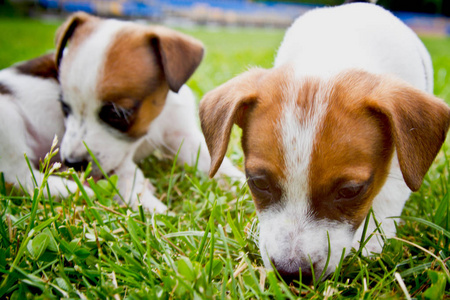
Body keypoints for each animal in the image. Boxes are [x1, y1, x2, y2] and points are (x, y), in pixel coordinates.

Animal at [55, 12, 244, 213]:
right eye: (65, 107)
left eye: (117, 114)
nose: (73, 163)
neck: (151, 124)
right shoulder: (116, 161)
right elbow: (127, 177)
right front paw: (154, 209)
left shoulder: (181, 134)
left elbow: (216, 163)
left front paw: (241, 184)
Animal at [200, 2, 450, 284]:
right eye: (259, 182)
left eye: (351, 191)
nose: (291, 272)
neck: (332, 50)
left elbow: (391, 193)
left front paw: (373, 242)